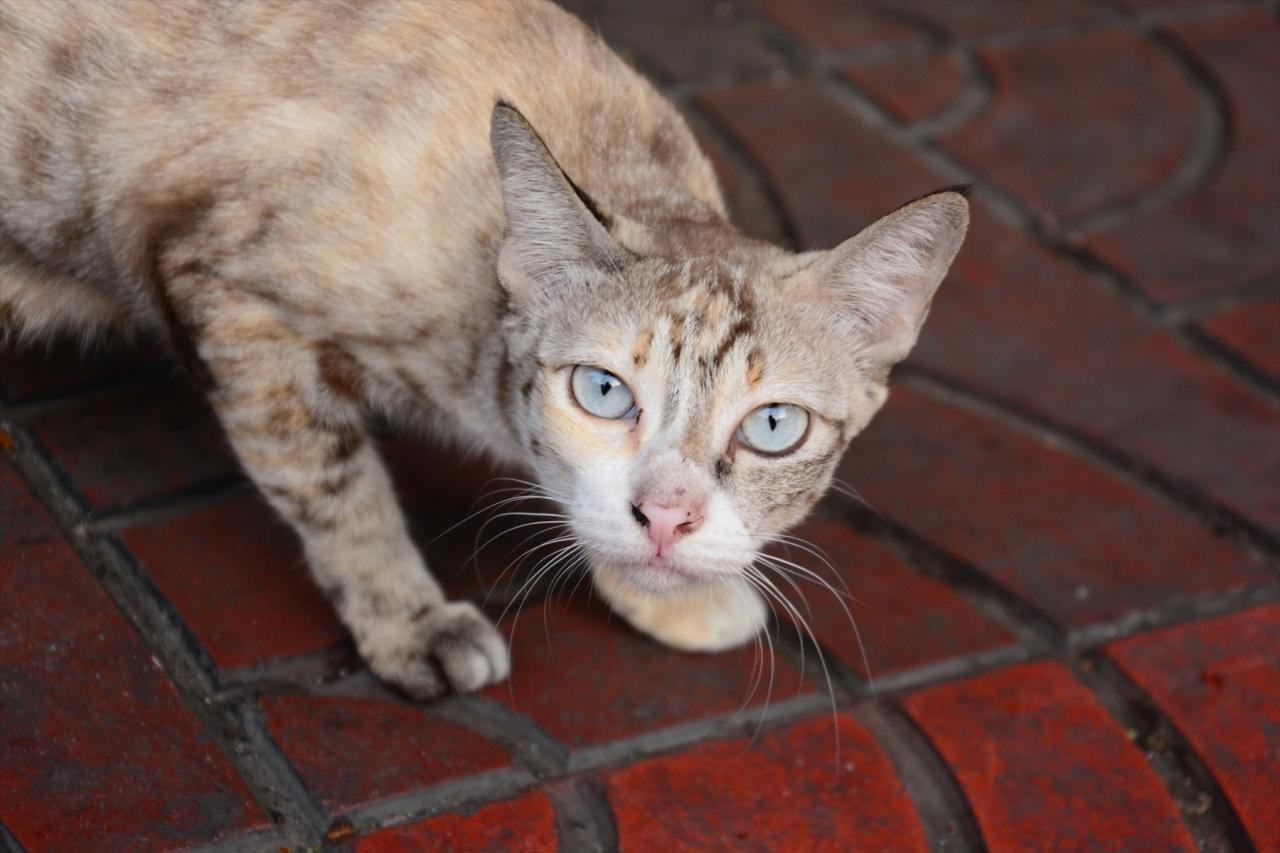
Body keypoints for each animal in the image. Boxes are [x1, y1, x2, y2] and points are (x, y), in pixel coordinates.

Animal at [0, 0, 967, 699]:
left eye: (773, 427)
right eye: (603, 392)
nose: (667, 517)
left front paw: (672, 595)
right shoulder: (225, 289)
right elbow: (335, 484)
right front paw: (410, 621)